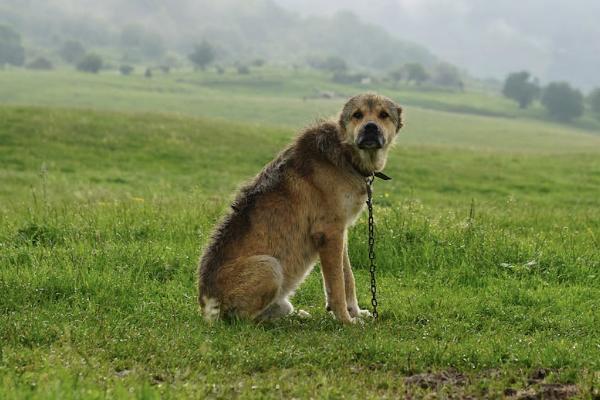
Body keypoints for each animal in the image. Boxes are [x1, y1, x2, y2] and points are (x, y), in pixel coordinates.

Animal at [198, 93, 404, 322]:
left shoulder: (340, 232)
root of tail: (207, 306)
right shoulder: (329, 232)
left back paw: (296, 315)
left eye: (383, 115)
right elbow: (336, 284)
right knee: (244, 320)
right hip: (270, 266)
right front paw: (346, 321)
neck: (345, 154)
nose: (370, 127)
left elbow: (348, 277)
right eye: (357, 115)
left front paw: (356, 312)